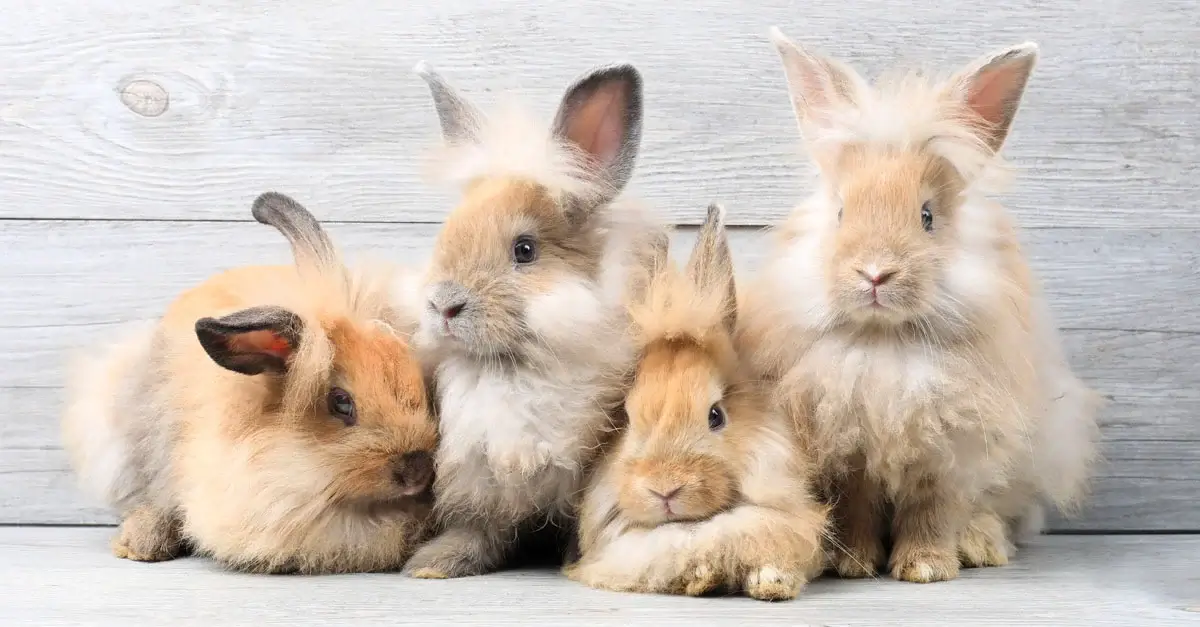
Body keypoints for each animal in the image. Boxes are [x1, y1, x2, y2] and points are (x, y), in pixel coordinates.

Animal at [398, 61, 668, 579]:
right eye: (446, 233)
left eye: (524, 250)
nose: (443, 305)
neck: (508, 368)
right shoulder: (476, 479)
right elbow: (479, 528)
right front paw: (436, 563)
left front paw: (578, 561)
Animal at [735, 28, 1104, 584]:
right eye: (840, 212)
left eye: (927, 216)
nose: (875, 272)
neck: (886, 343)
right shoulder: (849, 451)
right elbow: (857, 508)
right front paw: (854, 564)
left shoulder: (952, 449)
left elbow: (933, 510)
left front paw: (927, 568)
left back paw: (980, 545)